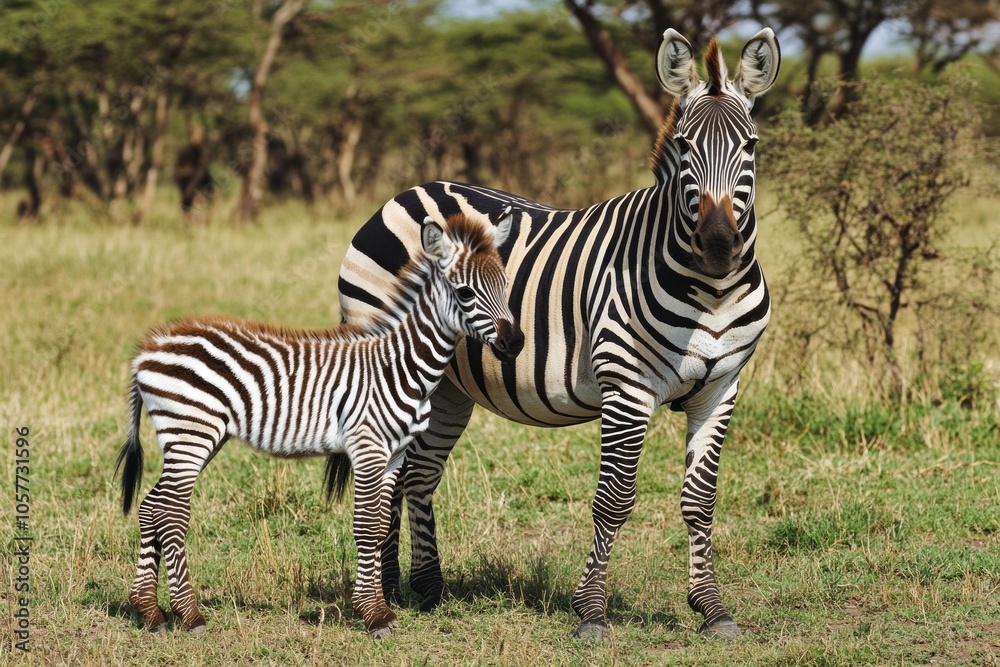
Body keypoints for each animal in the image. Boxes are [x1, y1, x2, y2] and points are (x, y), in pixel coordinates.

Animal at [115, 209, 523, 637]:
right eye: (465, 293)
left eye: (506, 286)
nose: (515, 343)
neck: (401, 366)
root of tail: (148, 349)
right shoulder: (367, 446)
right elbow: (367, 525)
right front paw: (374, 614)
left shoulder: (395, 454)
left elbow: (381, 527)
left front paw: (377, 606)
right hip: (190, 433)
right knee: (170, 515)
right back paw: (189, 614)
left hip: (193, 437)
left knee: (151, 507)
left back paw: (149, 610)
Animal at [335, 29, 780, 639]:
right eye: (685, 147)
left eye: (751, 147)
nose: (718, 246)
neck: (710, 291)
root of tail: (407, 191)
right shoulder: (627, 387)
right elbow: (614, 499)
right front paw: (590, 611)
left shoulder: (721, 389)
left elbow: (700, 501)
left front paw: (711, 608)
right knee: (386, 475)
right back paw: (384, 590)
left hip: (445, 384)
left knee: (415, 475)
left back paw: (419, 587)